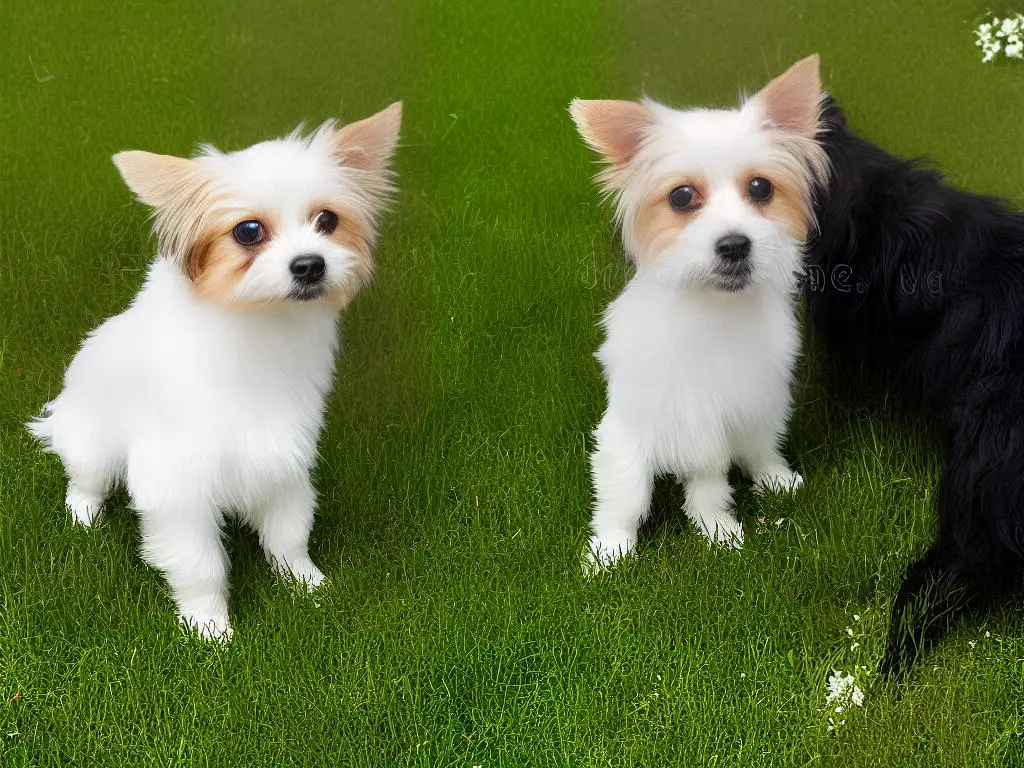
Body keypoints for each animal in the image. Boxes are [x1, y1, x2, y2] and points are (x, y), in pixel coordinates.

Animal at [25, 103, 401, 643]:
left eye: (327, 220)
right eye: (248, 231)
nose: (310, 264)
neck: (260, 328)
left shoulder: (282, 456)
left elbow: (289, 533)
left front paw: (306, 583)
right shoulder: (176, 483)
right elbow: (199, 563)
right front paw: (209, 626)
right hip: (90, 444)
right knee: (84, 481)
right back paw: (85, 515)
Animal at [573, 55, 827, 573]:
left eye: (761, 188)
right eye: (681, 197)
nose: (734, 244)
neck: (716, 310)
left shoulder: (732, 409)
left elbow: (713, 482)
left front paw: (718, 530)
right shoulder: (643, 422)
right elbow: (625, 494)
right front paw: (609, 551)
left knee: (760, 447)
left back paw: (778, 478)